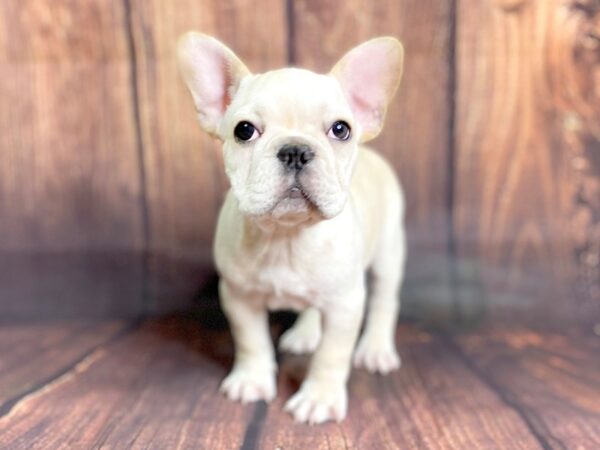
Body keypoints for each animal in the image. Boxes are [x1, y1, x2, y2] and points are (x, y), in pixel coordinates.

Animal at [176, 33, 406, 424]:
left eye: (341, 129)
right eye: (244, 130)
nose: (295, 150)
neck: (287, 236)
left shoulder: (344, 304)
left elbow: (331, 354)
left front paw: (319, 398)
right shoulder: (239, 297)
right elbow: (251, 341)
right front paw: (252, 380)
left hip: (388, 255)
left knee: (384, 302)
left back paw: (376, 349)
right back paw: (305, 332)